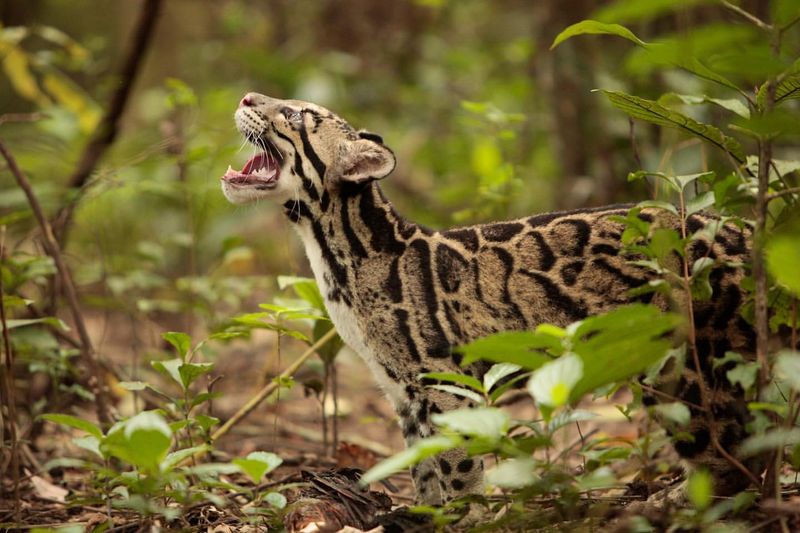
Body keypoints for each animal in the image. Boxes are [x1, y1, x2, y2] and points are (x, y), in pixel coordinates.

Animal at [222, 91, 760, 502]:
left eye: (295, 116)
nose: (246, 97)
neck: (338, 251)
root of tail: (743, 228)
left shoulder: (446, 383)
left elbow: (458, 469)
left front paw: (463, 515)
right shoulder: (404, 393)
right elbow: (425, 470)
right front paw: (429, 514)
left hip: (691, 369)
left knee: (734, 457)